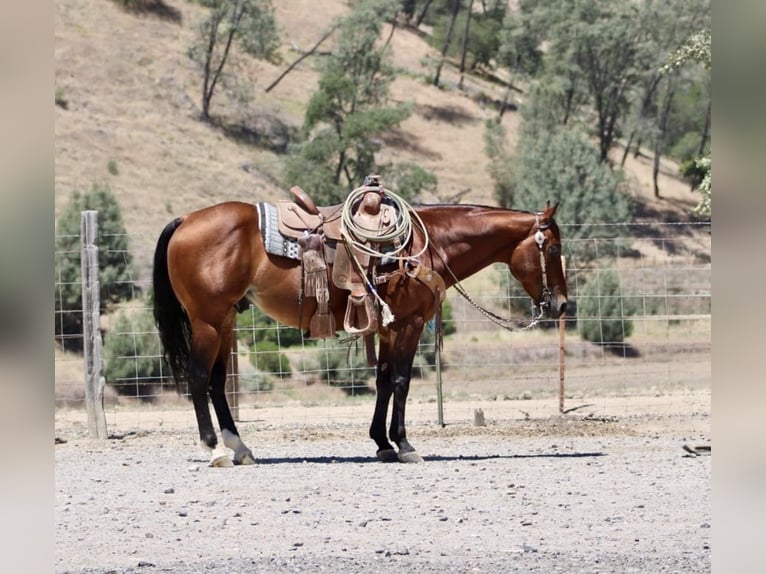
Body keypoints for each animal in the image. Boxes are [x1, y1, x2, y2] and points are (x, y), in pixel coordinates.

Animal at [152, 195, 568, 466]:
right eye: (552, 249)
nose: (562, 305)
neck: (427, 243)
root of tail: (185, 220)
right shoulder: (410, 324)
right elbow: (401, 380)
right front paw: (404, 445)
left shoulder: (387, 328)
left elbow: (383, 381)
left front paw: (382, 443)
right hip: (207, 321)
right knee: (198, 378)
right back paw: (215, 450)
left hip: (225, 321)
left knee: (217, 382)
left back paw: (240, 448)